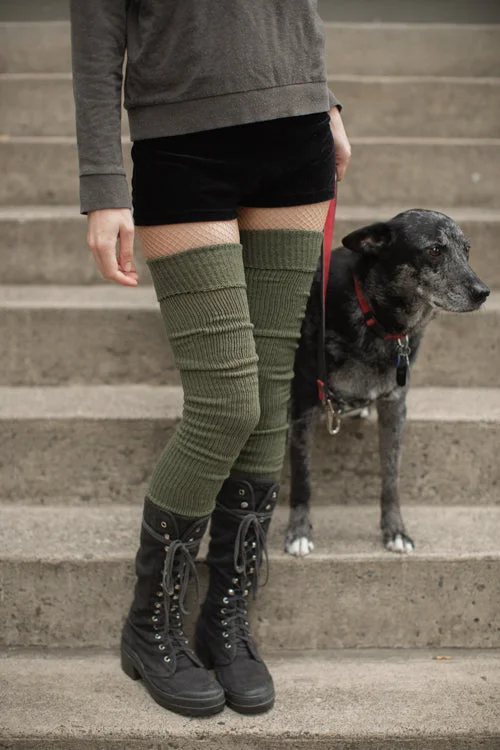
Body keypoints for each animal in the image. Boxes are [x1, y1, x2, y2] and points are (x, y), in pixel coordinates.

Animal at [286, 209, 488, 556]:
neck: (377, 319)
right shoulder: (305, 402)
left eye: (467, 250)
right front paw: (299, 531)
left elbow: (390, 477)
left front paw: (396, 531)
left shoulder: (395, 407)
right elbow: (302, 475)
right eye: (435, 250)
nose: (483, 292)